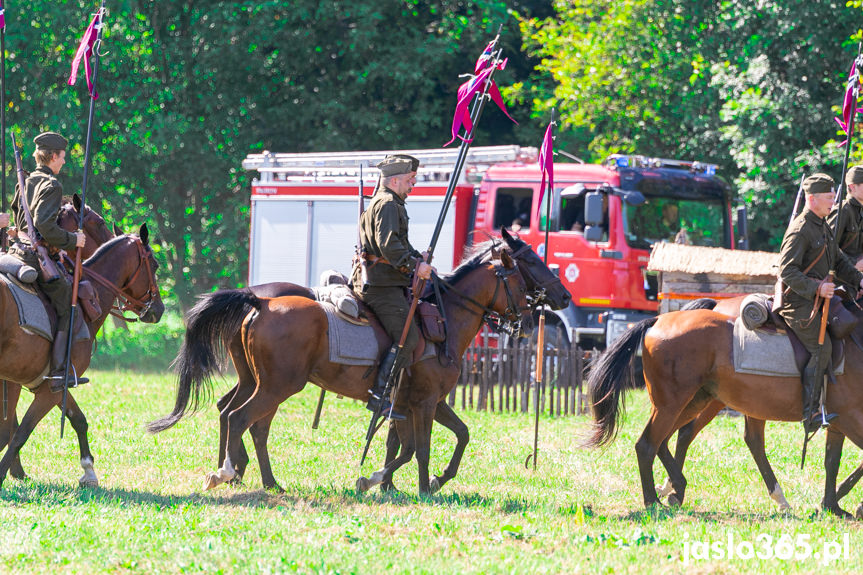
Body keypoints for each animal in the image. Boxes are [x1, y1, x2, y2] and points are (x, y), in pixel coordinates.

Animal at [0, 226, 165, 490]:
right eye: (155, 264)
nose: (158, 310)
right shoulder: (47, 389)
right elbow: (20, 432)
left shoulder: (51, 385)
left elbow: (78, 419)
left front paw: (89, 471)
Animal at [188, 230, 572, 496]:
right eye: (530, 263)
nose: (564, 296)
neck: (445, 318)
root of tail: (261, 302)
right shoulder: (424, 403)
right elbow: (419, 448)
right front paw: (418, 487)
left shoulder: (415, 403)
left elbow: (448, 437)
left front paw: (414, 481)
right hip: (277, 386)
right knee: (242, 420)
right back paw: (227, 473)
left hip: (260, 383)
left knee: (239, 418)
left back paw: (260, 479)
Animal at [588, 306, 863, 516]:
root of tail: (658, 320)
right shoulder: (850, 418)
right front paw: (848, 504)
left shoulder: (839, 422)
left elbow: (832, 461)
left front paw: (832, 505)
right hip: (674, 404)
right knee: (648, 444)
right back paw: (653, 502)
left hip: (695, 401)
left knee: (666, 440)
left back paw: (677, 487)